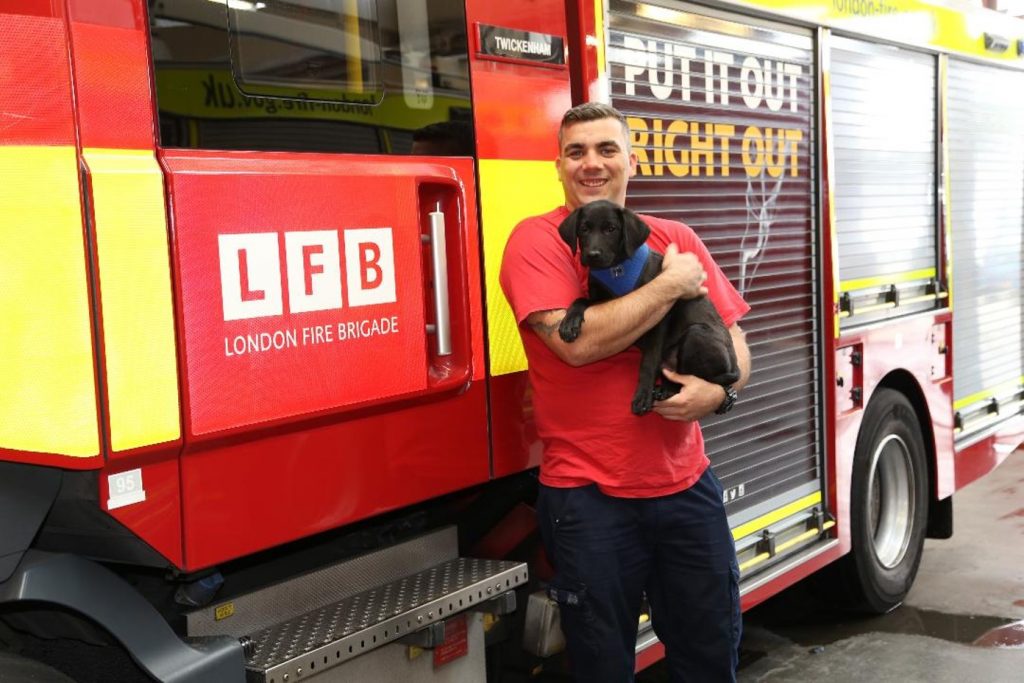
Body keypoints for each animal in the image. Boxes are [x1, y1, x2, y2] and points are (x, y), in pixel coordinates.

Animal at [561, 200, 737, 413]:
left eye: (611, 229)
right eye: (584, 229)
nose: (592, 255)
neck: (616, 269)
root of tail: (734, 367)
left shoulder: (657, 320)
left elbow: (649, 361)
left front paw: (642, 396)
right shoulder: (600, 298)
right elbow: (581, 300)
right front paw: (569, 323)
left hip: (698, 334)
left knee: (689, 378)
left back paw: (664, 391)